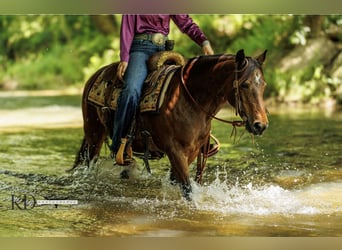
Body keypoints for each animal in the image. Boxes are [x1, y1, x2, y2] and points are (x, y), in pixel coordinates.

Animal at [73, 49, 270, 200]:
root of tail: (96, 74)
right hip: (94, 136)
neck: (189, 100)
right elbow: (187, 189)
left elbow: (176, 181)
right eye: (244, 84)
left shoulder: (192, 152)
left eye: (263, 85)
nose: (260, 125)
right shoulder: (174, 151)